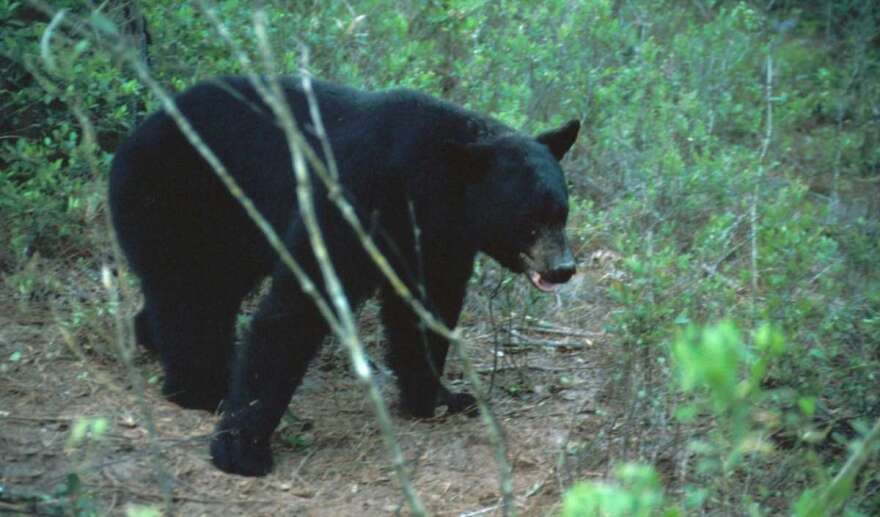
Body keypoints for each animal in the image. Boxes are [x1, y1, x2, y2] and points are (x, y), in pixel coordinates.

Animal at [108, 74, 576, 474]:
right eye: (530, 221)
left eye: (562, 212)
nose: (563, 268)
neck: (424, 184)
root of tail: (131, 137)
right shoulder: (354, 197)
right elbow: (297, 305)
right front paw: (242, 448)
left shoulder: (434, 241)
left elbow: (426, 310)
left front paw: (440, 398)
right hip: (179, 197)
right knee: (190, 294)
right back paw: (201, 388)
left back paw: (153, 340)